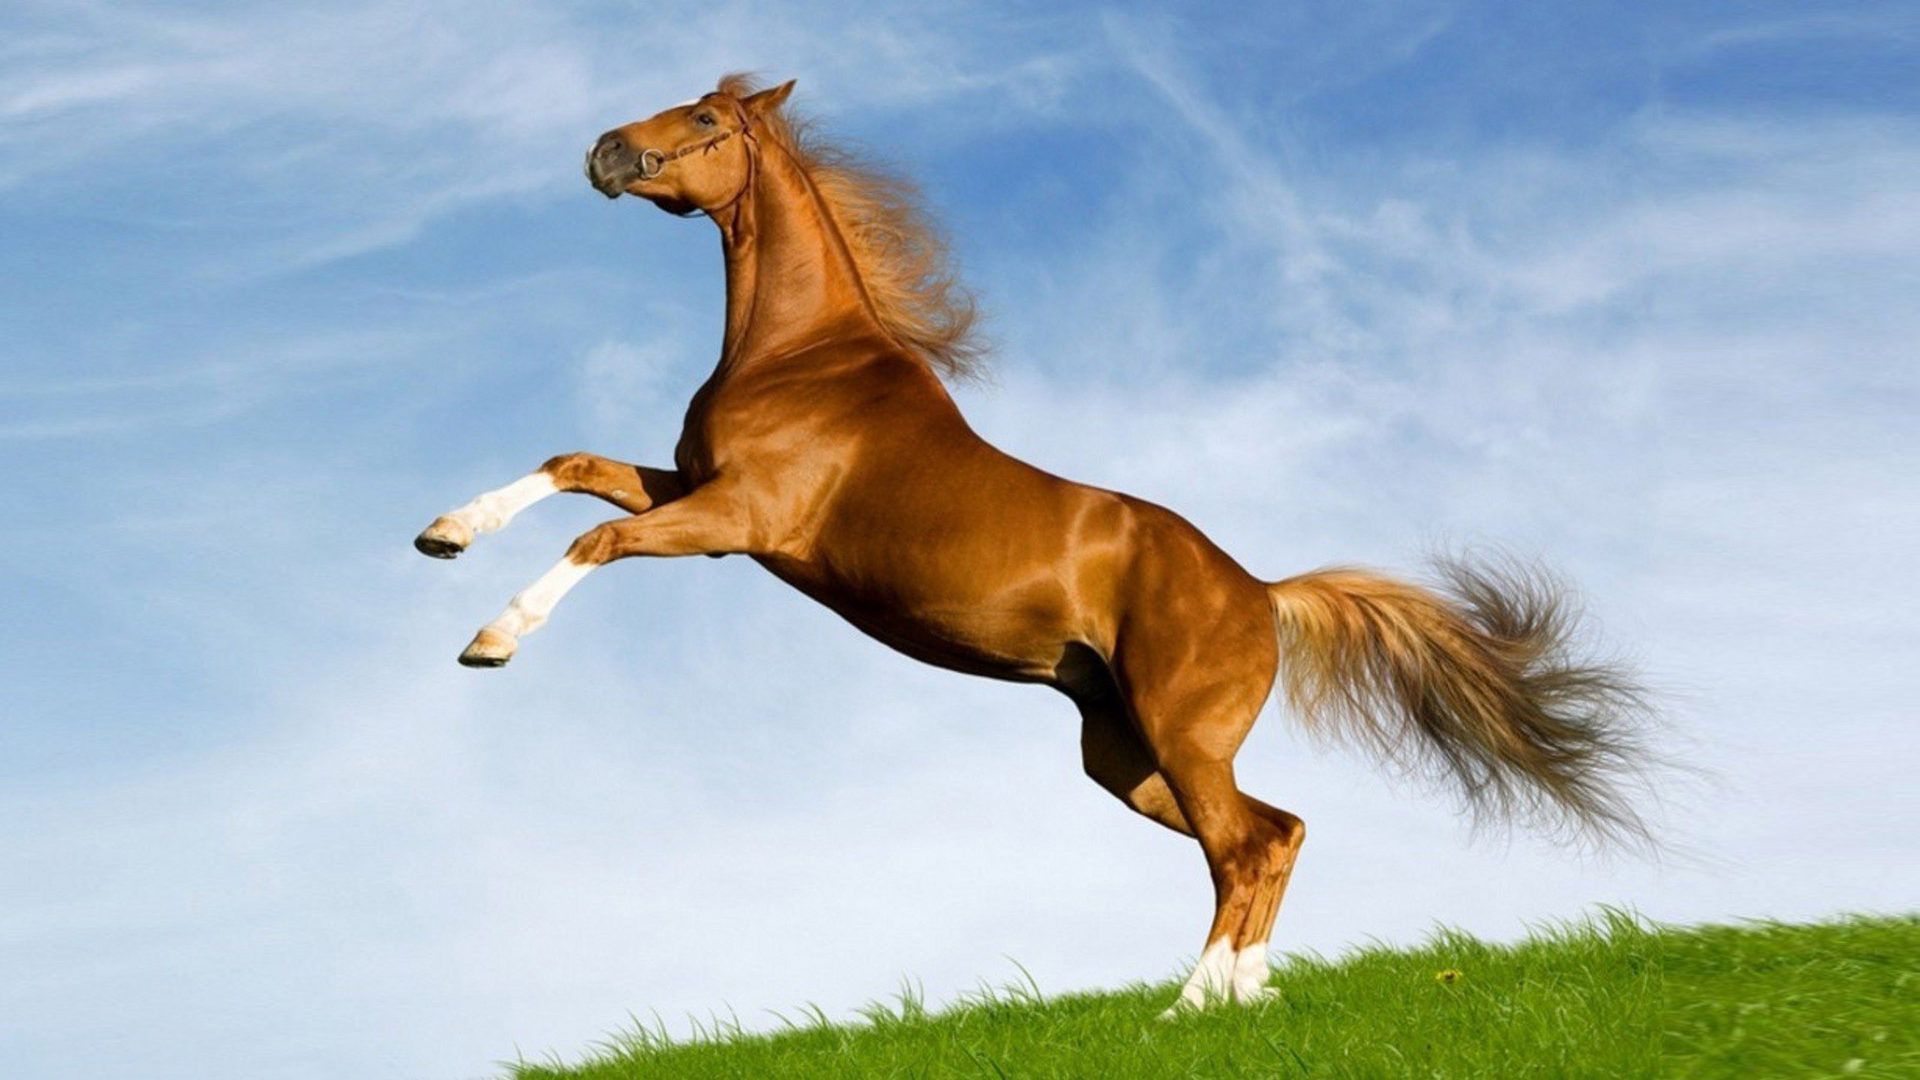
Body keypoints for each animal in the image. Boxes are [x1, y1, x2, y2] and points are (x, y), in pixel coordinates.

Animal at [415, 74, 1651, 1016]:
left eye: (708, 121)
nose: (603, 151)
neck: (802, 357)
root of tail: (1262, 591)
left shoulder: (738, 521)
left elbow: (599, 540)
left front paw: (489, 640)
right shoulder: (697, 490)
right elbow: (573, 465)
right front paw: (444, 534)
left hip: (1181, 739)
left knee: (1249, 845)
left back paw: (1188, 1008)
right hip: (1126, 757)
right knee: (1278, 832)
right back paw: (1248, 998)